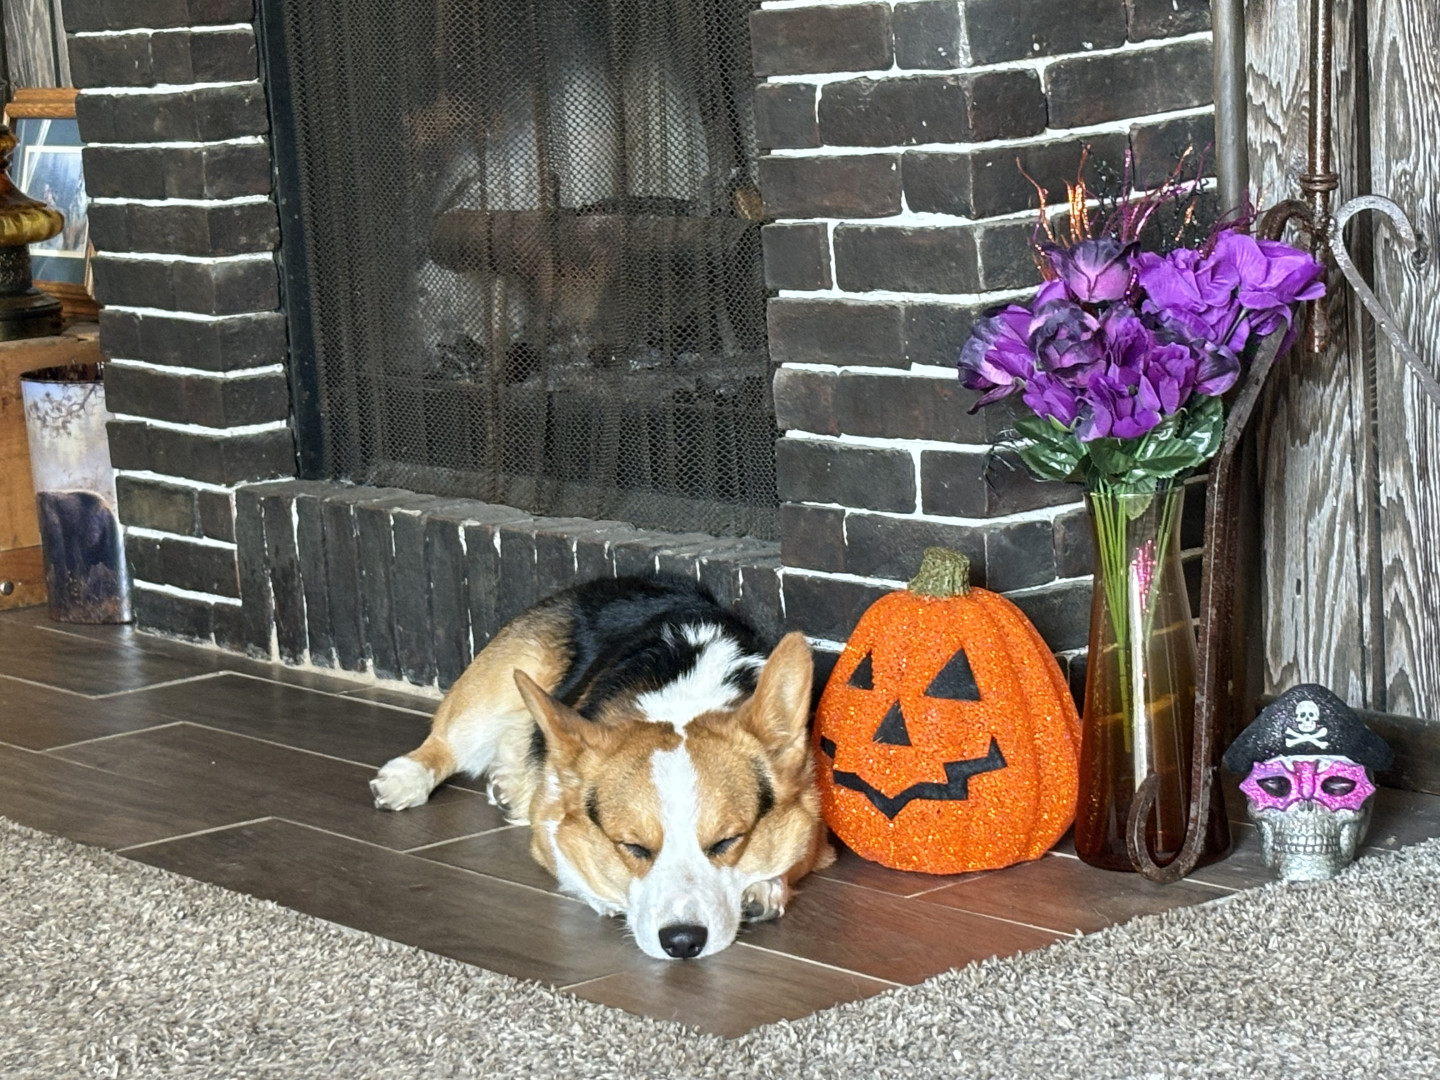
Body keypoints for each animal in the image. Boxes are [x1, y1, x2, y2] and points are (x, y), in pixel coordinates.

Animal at [370, 576, 833, 959]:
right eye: (633, 847)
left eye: (727, 841)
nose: (683, 943)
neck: (684, 698)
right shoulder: (552, 820)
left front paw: (763, 887)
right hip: (484, 704)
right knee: (444, 742)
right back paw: (405, 779)